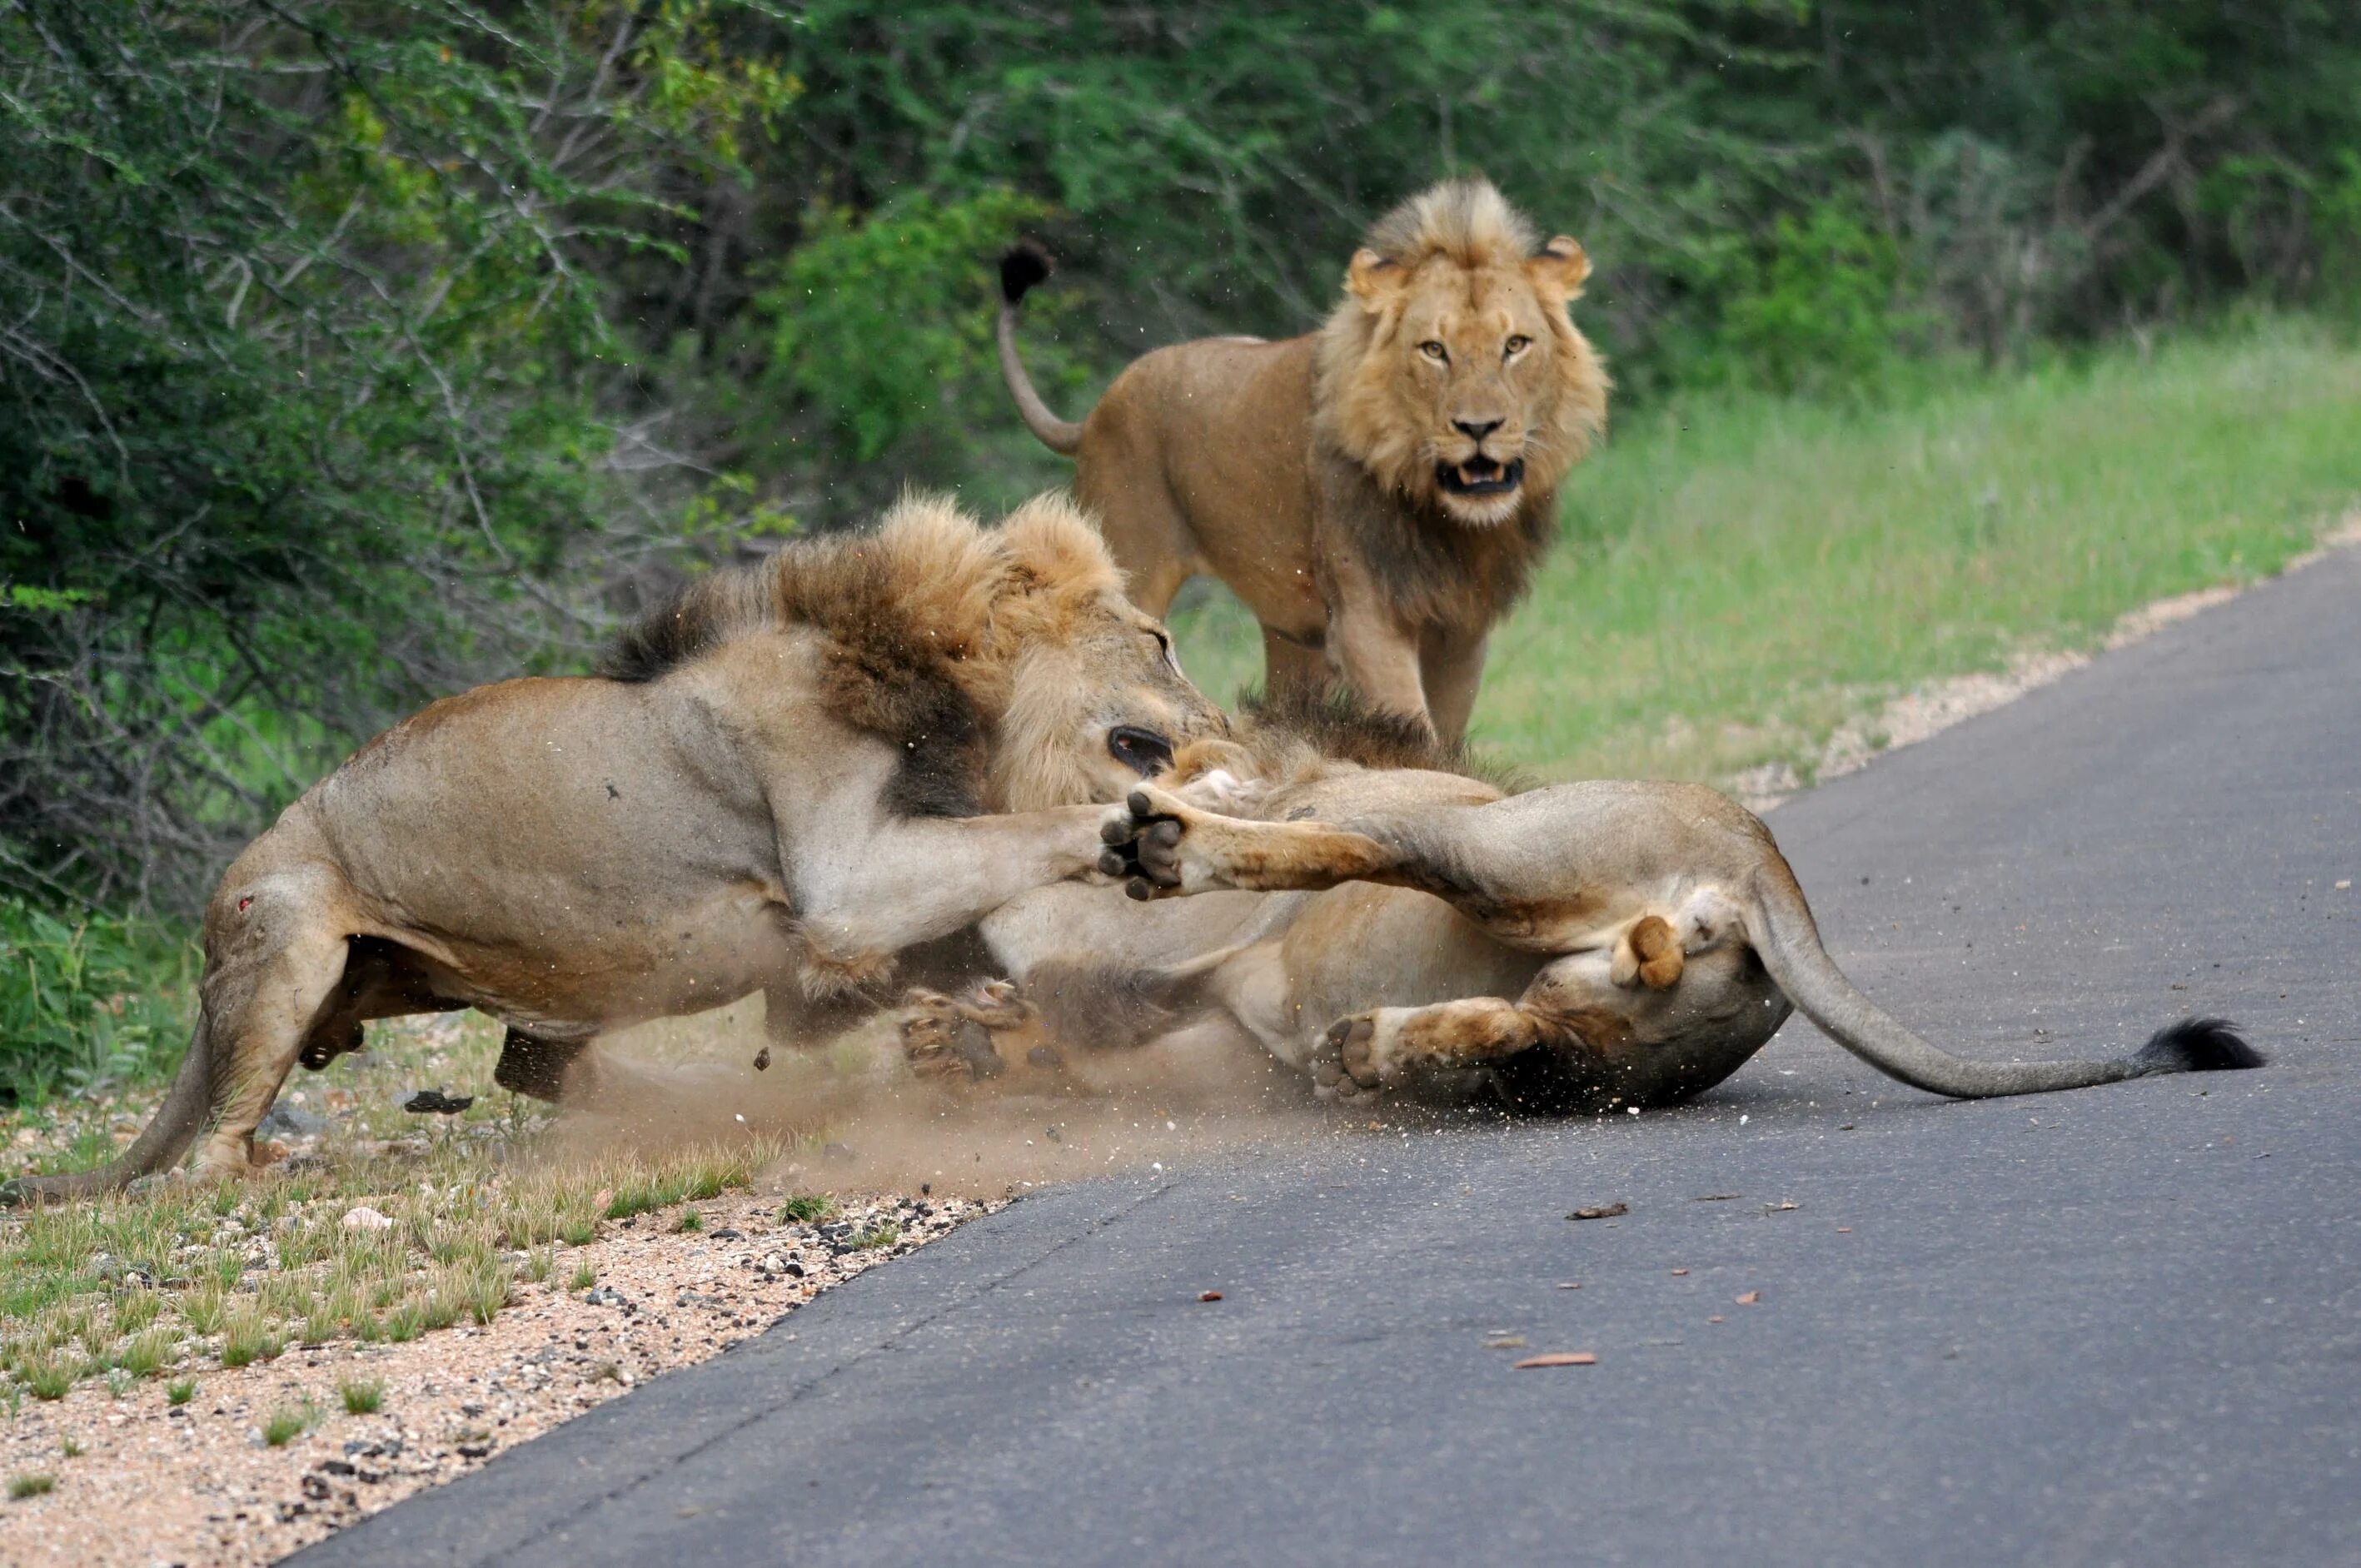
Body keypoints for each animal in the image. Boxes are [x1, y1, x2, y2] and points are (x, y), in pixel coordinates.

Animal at [13, 493, 1237, 1199]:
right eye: (1162, 639)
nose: (1231, 723)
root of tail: (206, 951)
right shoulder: (843, 879)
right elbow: (1022, 835)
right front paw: (1167, 814)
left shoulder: (850, 919)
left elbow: (983, 949)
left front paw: (999, 1022)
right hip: (292, 936)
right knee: (208, 1158)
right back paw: (280, 1162)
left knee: (528, 1060)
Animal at [996, 180, 1605, 746]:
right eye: (1434, 350)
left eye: (1515, 345)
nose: (1479, 428)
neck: (1440, 516)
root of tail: (1098, 408)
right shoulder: (1365, 619)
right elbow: (1412, 727)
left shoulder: (1461, 627)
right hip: (1130, 567)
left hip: (1292, 636)